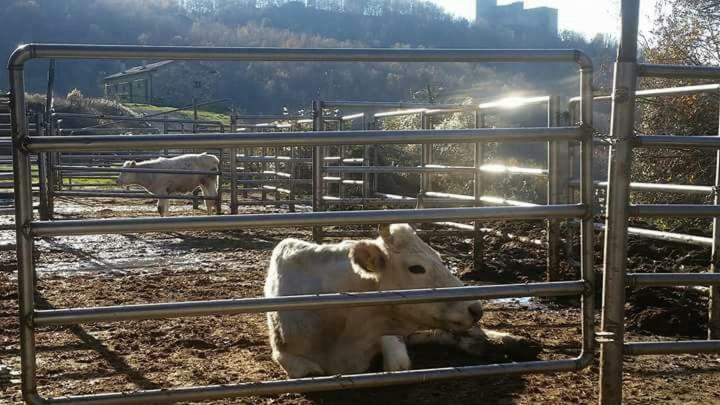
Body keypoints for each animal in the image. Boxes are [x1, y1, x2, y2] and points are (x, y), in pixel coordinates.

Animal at [264, 223, 536, 378]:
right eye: (416, 268)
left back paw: (512, 340)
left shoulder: (389, 333)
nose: (475, 308)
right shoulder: (285, 352)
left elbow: (398, 364)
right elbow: (306, 369)